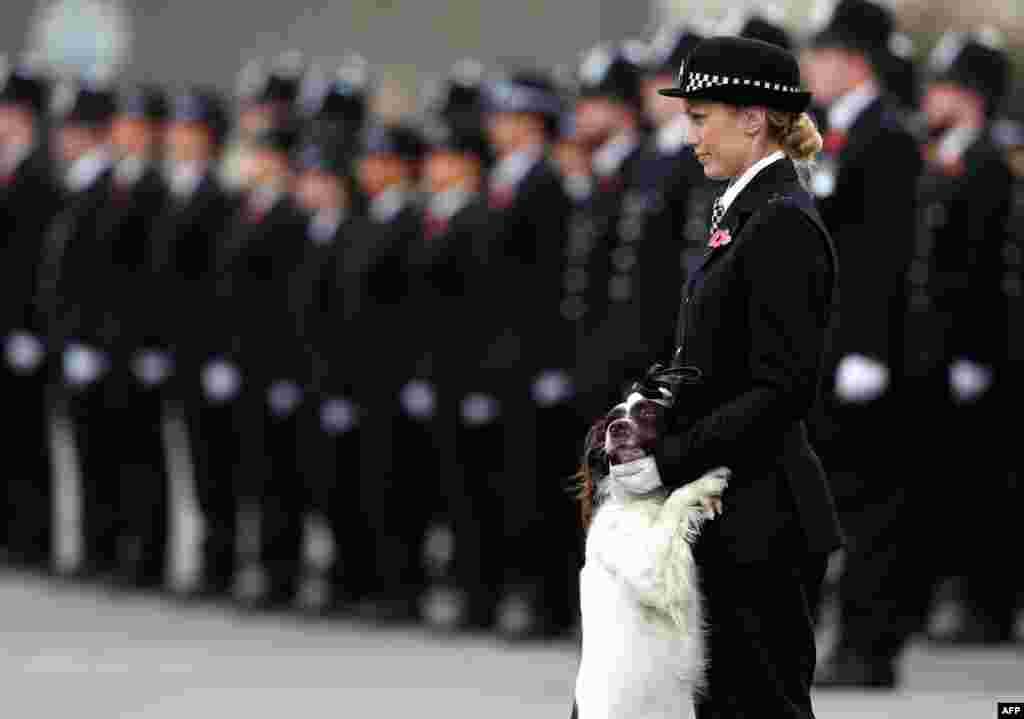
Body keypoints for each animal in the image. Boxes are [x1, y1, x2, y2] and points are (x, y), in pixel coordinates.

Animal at [573, 389, 733, 719]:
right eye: (610, 421)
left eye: (647, 412)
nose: (617, 428)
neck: (641, 500)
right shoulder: (651, 570)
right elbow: (675, 502)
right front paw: (706, 481)